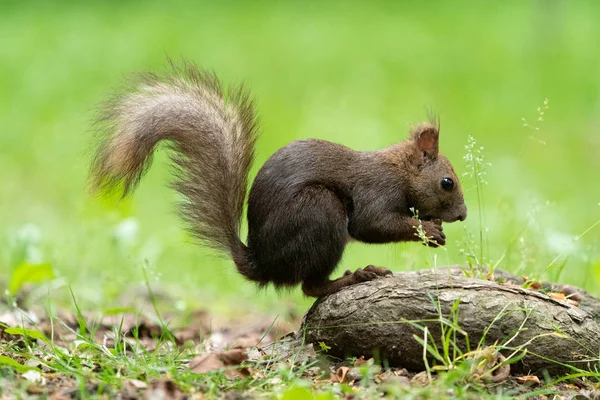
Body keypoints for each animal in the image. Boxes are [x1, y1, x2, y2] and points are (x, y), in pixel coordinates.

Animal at [90, 62, 468, 298]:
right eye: (447, 182)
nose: (463, 215)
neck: (399, 170)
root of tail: (262, 264)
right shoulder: (376, 190)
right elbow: (372, 225)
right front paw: (428, 230)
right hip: (319, 213)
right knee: (310, 287)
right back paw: (354, 276)